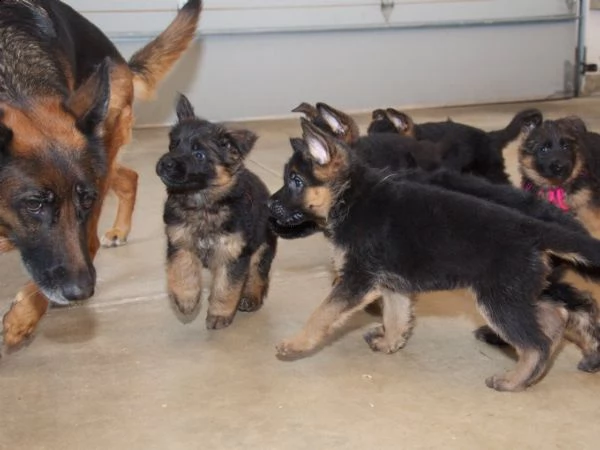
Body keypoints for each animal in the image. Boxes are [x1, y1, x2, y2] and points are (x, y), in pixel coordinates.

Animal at [0, 0, 203, 348]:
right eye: (34, 204)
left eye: (84, 201)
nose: (82, 291)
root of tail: (119, 60)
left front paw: (24, 315)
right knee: (129, 176)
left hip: (102, 155)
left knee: (93, 238)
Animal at [155, 95, 276, 328]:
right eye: (174, 145)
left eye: (199, 154)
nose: (165, 163)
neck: (203, 204)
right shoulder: (180, 244)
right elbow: (183, 270)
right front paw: (186, 299)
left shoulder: (233, 255)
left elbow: (226, 287)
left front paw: (219, 314)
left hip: (263, 246)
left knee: (258, 274)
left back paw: (251, 297)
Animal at [268, 118, 600, 390]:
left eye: (295, 181)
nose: (269, 206)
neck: (351, 198)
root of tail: (534, 227)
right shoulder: (390, 284)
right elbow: (396, 316)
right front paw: (390, 343)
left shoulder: (357, 279)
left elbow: (323, 312)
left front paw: (297, 343)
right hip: (519, 292)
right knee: (557, 318)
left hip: (499, 300)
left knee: (536, 343)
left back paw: (513, 380)